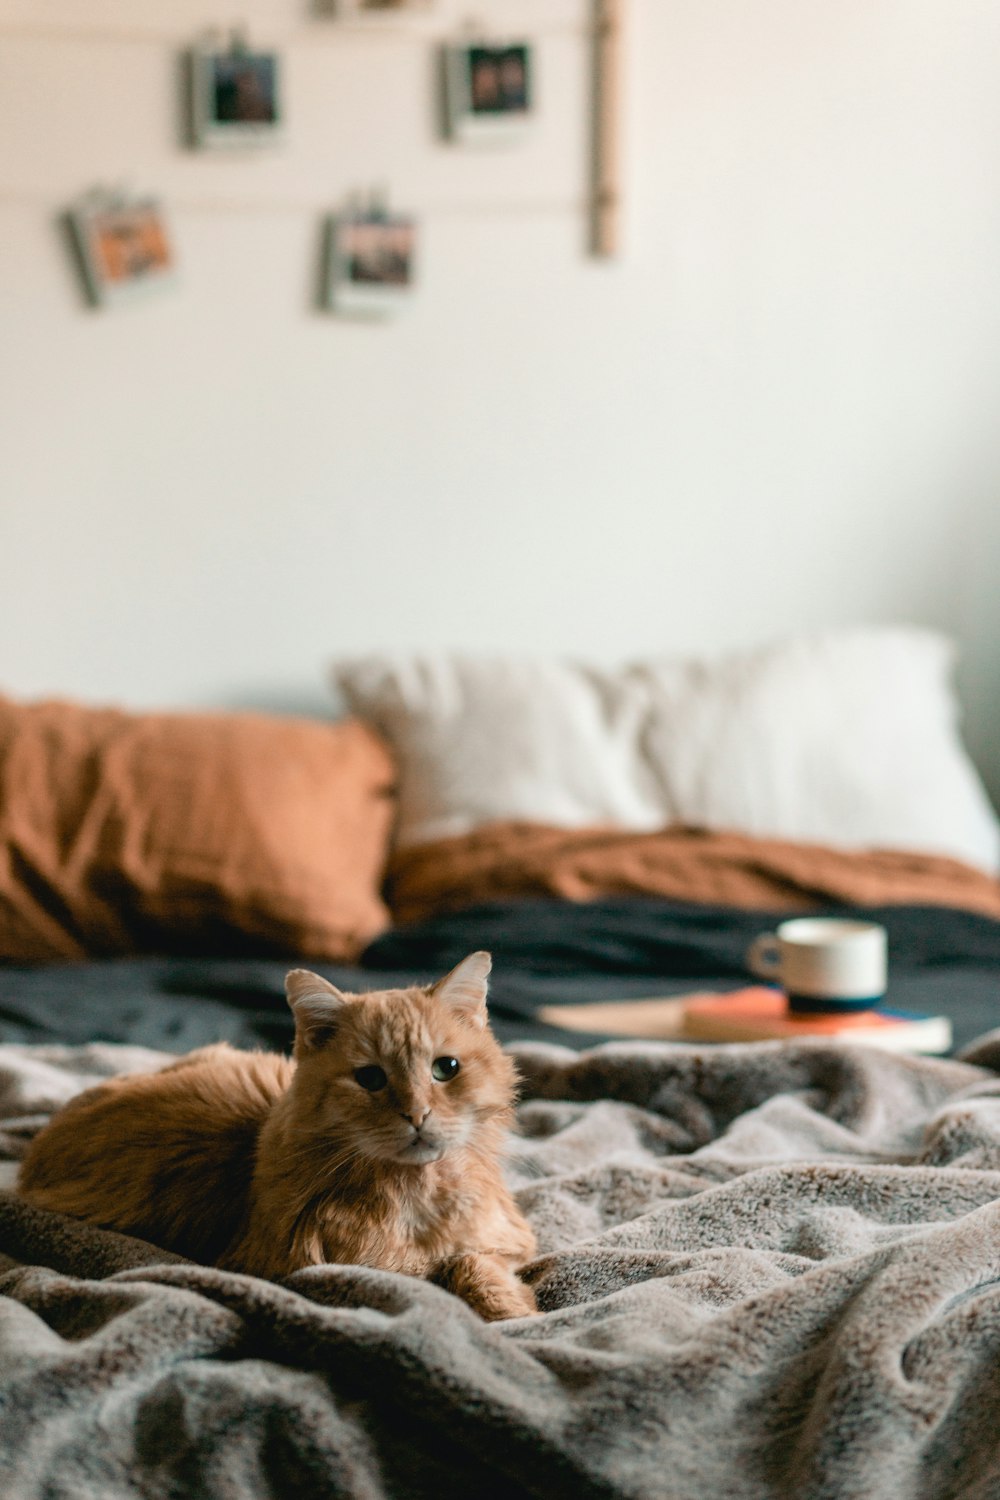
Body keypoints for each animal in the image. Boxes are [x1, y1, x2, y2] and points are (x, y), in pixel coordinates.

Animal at [15, 954, 539, 1320]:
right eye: (370, 1078)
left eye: (445, 1068)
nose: (417, 1114)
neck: (413, 1199)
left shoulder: (504, 1241)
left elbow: (475, 1263)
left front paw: (508, 1308)